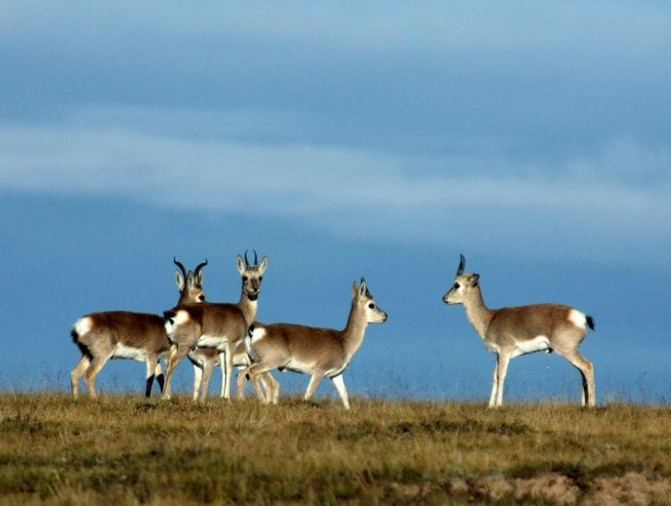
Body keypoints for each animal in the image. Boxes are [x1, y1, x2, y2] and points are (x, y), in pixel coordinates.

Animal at [70, 260, 207, 400]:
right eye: (201, 296)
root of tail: (82, 323)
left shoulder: (158, 359)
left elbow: (161, 379)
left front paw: (166, 398)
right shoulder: (152, 356)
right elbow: (150, 379)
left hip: (87, 354)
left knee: (75, 374)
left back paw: (76, 399)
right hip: (101, 356)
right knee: (89, 375)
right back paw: (95, 399)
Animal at [162, 251, 268, 402]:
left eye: (260, 277)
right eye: (244, 277)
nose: (255, 289)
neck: (240, 311)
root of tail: (173, 312)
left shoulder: (221, 350)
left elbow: (224, 371)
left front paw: (222, 397)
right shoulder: (230, 345)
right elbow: (229, 369)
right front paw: (227, 398)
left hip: (173, 345)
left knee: (167, 363)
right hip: (184, 346)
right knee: (172, 363)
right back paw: (164, 397)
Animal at [243, 278, 388, 410]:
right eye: (371, 304)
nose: (386, 316)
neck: (343, 340)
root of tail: (258, 329)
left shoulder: (336, 375)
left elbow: (344, 395)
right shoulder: (319, 372)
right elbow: (308, 395)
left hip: (257, 361)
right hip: (271, 362)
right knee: (252, 372)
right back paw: (263, 401)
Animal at [444, 255, 596, 410]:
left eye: (457, 284)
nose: (444, 298)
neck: (490, 319)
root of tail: (581, 316)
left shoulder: (505, 350)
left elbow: (501, 375)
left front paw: (498, 404)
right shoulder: (498, 354)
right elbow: (494, 376)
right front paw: (490, 405)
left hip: (566, 350)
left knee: (587, 366)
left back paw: (591, 405)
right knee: (582, 371)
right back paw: (583, 404)